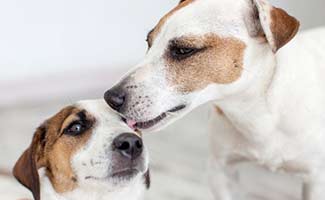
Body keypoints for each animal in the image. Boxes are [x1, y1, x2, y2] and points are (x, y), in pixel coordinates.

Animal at [104, 0, 324, 199]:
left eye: (184, 50)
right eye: (149, 43)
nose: (110, 98)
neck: (257, 111)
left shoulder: (316, 182)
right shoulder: (220, 172)